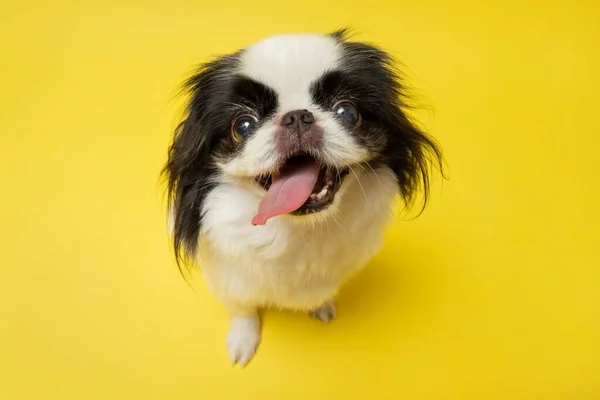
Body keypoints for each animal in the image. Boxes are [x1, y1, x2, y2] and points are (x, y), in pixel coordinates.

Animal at [162, 28, 442, 366]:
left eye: (347, 112)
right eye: (243, 125)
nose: (296, 116)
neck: (297, 230)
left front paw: (320, 304)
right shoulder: (229, 278)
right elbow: (242, 309)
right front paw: (243, 340)